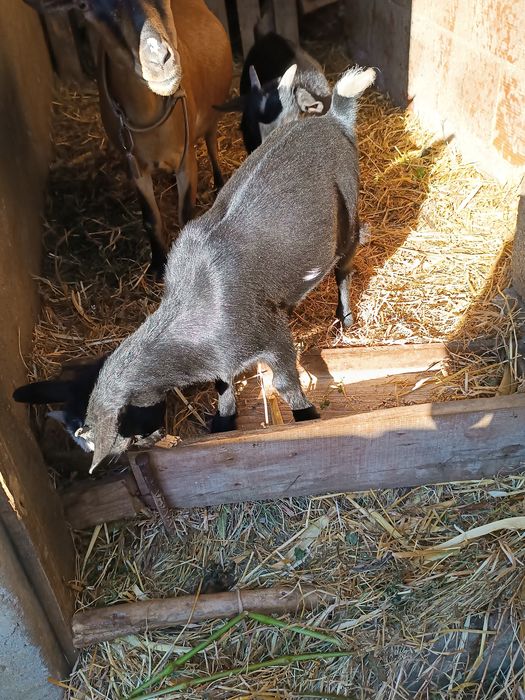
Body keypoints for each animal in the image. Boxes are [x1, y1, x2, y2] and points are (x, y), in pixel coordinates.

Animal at [24, 0, 233, 276]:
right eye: (84, 6)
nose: (159, 60)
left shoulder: (186, 159)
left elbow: (186, 213)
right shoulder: (134, 166)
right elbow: (150, 218)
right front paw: (158, 263)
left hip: (212, 115)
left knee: (211, 144)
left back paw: (220, 183)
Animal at [81, 66, 376, 471]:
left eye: (126, 425)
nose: (151, 438)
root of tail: (334, 119)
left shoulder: (271, 336)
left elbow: (286, 383)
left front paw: (308, 417)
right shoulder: (224, 356)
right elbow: (223, 383)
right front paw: (223, 421)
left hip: (348, 213)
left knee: (345, 266)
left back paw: (345, 320)